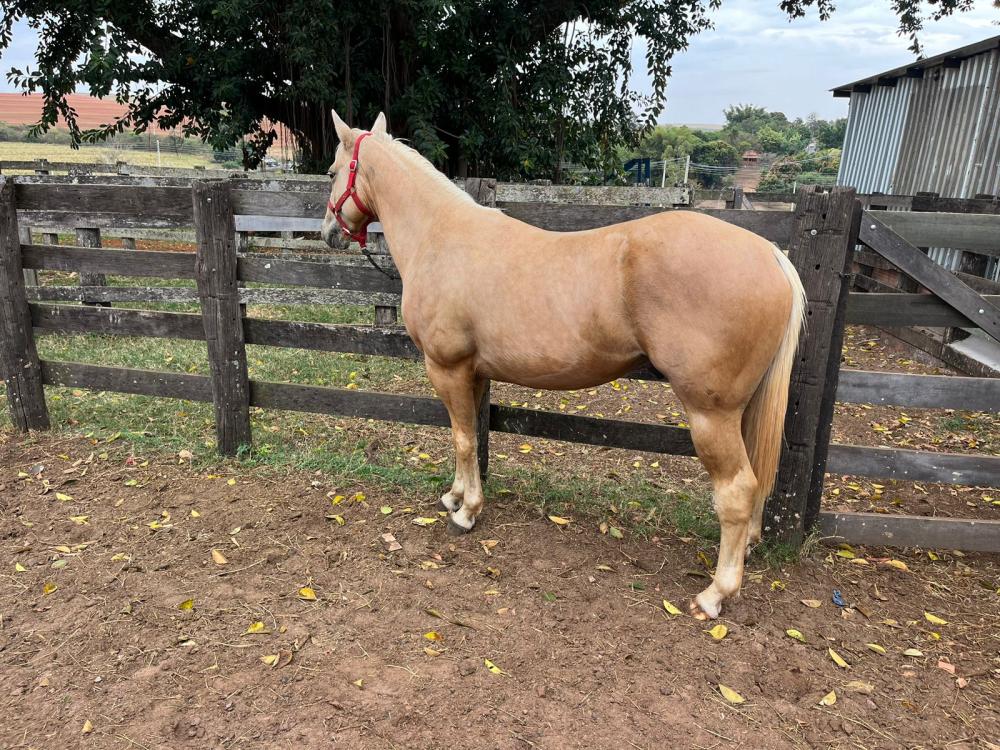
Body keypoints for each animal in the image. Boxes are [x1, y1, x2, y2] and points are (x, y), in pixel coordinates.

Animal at [320, 111, 806, 619]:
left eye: (331, 172)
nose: (328, 232)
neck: (440, 236)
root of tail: (771, 254)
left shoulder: (447, 367)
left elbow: (462, 439)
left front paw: (467, 513)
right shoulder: (474, 373)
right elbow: (468, 436)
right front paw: (455, 496)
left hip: (710, 414)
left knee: (737, 491)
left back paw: (714, 594)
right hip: (741, 412)